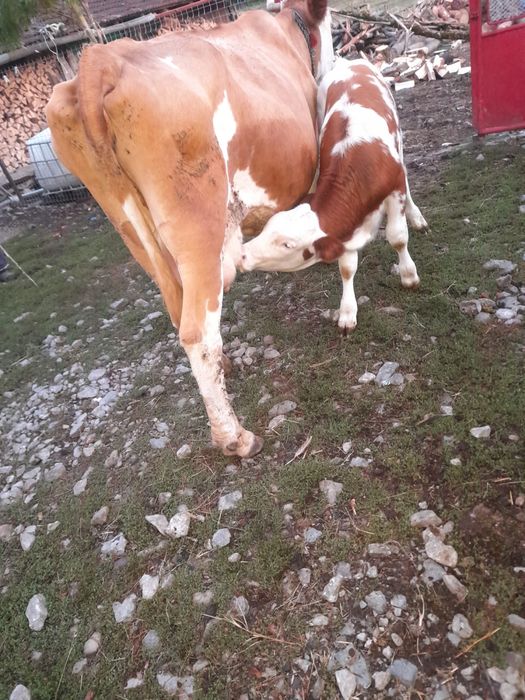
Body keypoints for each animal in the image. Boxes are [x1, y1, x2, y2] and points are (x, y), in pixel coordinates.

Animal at [45, 0, 334, 458]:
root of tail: (104, 59)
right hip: (198, 224)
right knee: (197, 331)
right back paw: (235, 437)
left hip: (131, 226)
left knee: (177, 307)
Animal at [240, 58, 428, 333]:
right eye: (268, 227)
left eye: (287, 245)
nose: (242, 255)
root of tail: (351, 62)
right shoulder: (343, 231)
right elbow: (347, 268)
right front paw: (347, 312)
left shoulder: (394, 190)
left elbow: (397, 237)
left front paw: (409, 275)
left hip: (399, 139)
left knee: (406, 175)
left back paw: (416, 217)